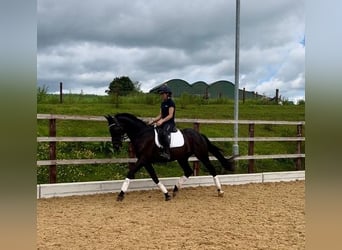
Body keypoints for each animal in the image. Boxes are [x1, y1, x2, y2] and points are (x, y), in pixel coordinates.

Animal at [105, 113, 235, 201]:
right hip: (182, 158)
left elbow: (130, 173)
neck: (142, 135)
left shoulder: (143, 159)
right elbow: (154, 177)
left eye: (115, 128)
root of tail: (199, 135)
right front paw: (166, 194)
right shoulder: (146, 161)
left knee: (211, 169)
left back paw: (220, 191)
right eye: (110, 130)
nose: (116, 146)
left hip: (201, 155)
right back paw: (175, 190)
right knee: (188, 171)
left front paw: (120, 194)